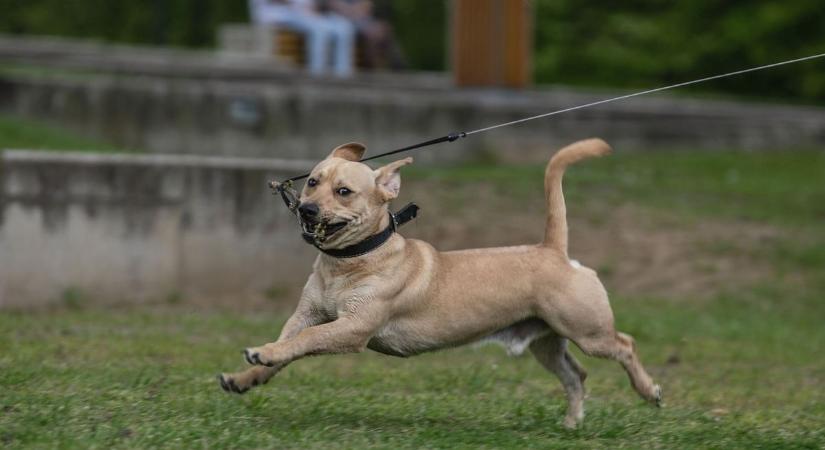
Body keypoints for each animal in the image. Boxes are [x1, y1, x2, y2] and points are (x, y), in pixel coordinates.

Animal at [219, 139, 664, 428]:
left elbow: (303, 342)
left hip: (588, 330)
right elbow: (288, 345)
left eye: (343, 191)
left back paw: (648, 391)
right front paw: (247, 375)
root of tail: (553, 249)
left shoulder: (352, 329)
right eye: (312, 181)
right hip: (546, 342)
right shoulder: (307, 314)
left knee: (625, 345)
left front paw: (263, 354)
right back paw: (572, 423)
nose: (307, 209)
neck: (348, 262)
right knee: (576, 376)